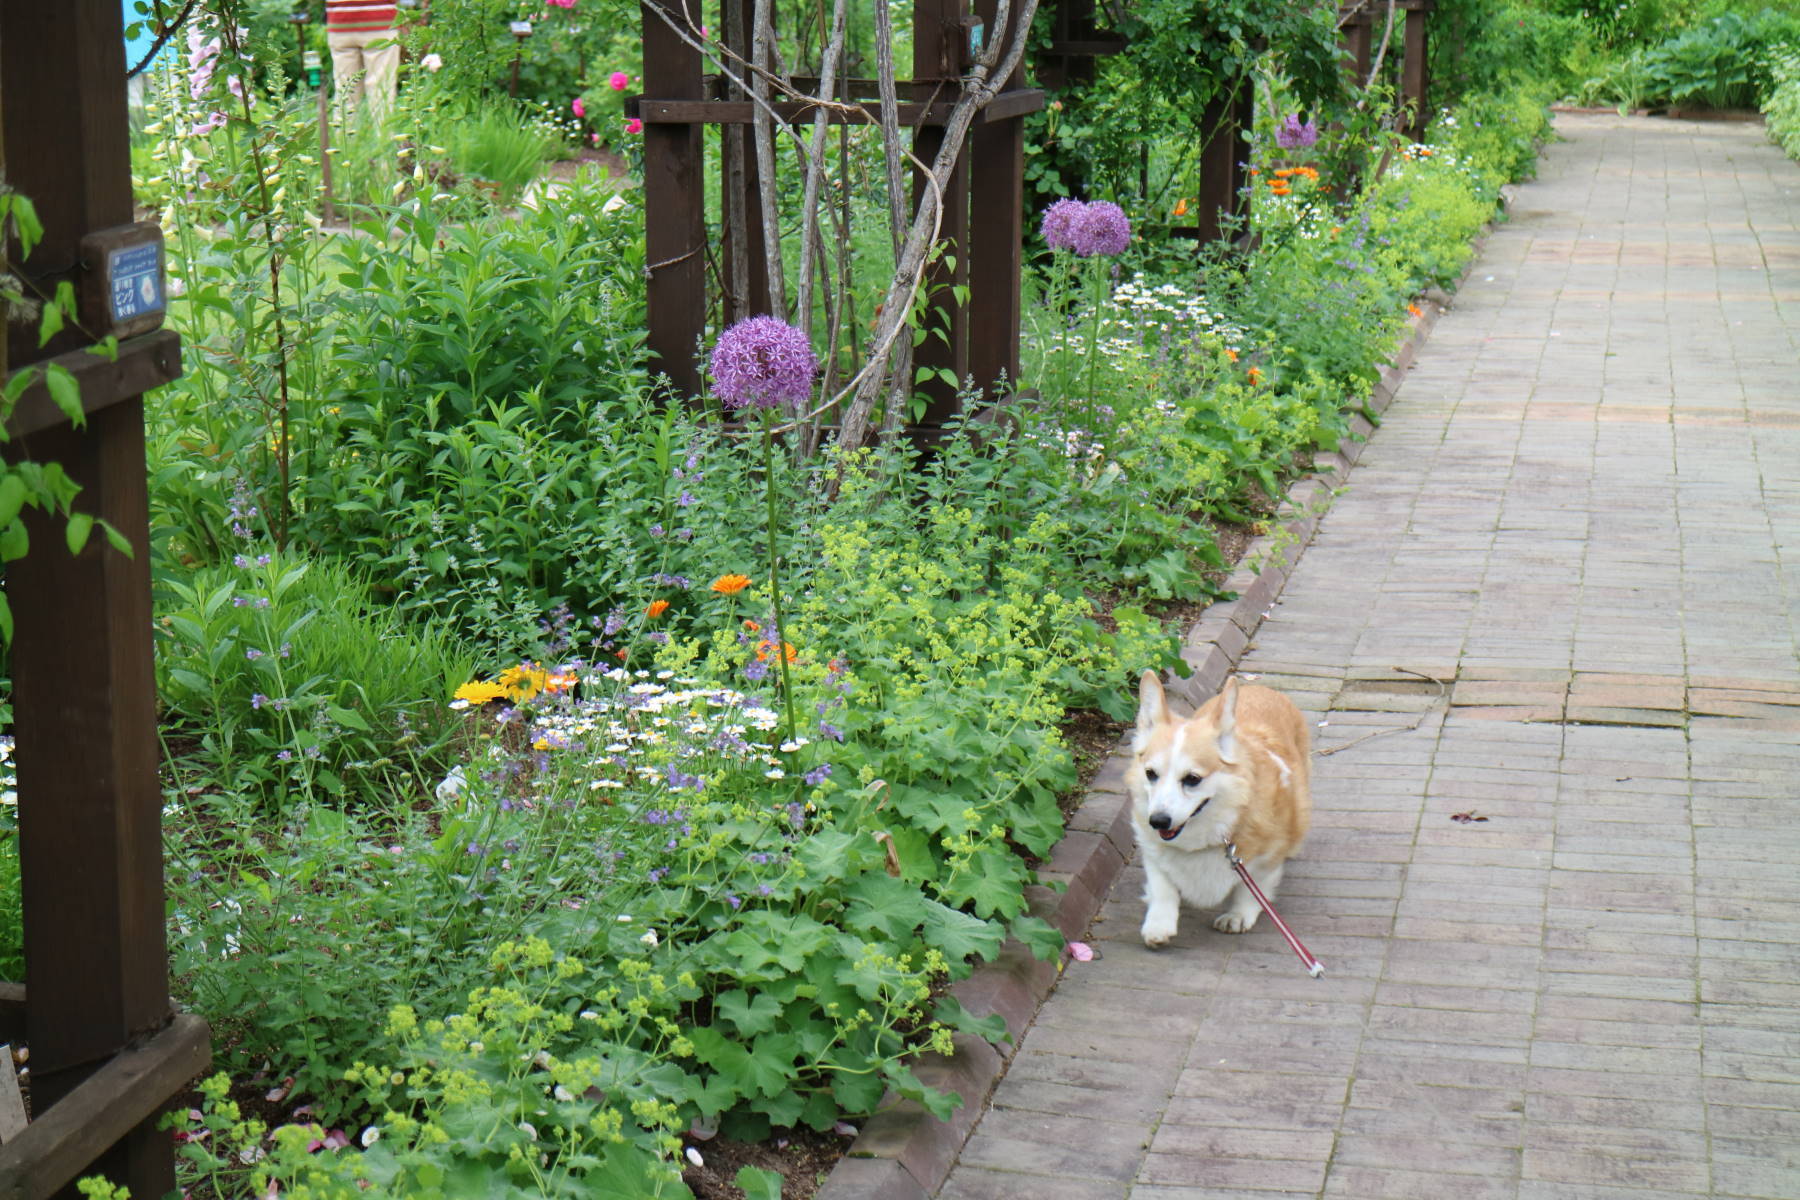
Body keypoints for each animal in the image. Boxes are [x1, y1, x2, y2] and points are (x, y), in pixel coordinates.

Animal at [1137, 676, 1310, 949]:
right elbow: (1162, 886)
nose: (1158, 821)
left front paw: (1238, 915)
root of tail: (1258, 686)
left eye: (1192, 779)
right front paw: (1158, 926)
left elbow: (1251, 889)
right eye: (1150, 774)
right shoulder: (1152, 851)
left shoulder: (1267, 858)